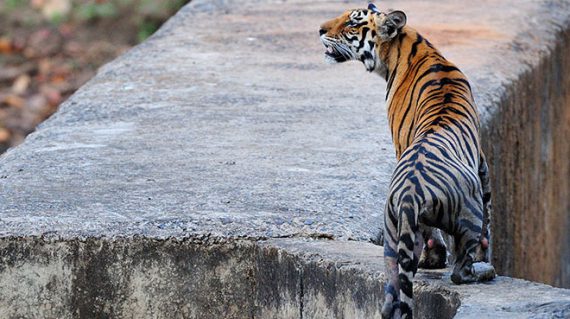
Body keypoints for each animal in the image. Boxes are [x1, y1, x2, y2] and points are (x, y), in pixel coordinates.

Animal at [318, 3, 494, 319]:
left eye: (351, 23)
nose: (319, 30)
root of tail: (411, 193)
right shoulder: (481, 163)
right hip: (465, 213)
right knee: (459, 270)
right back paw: (482, 271)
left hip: (390, 235)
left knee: (393, 292)